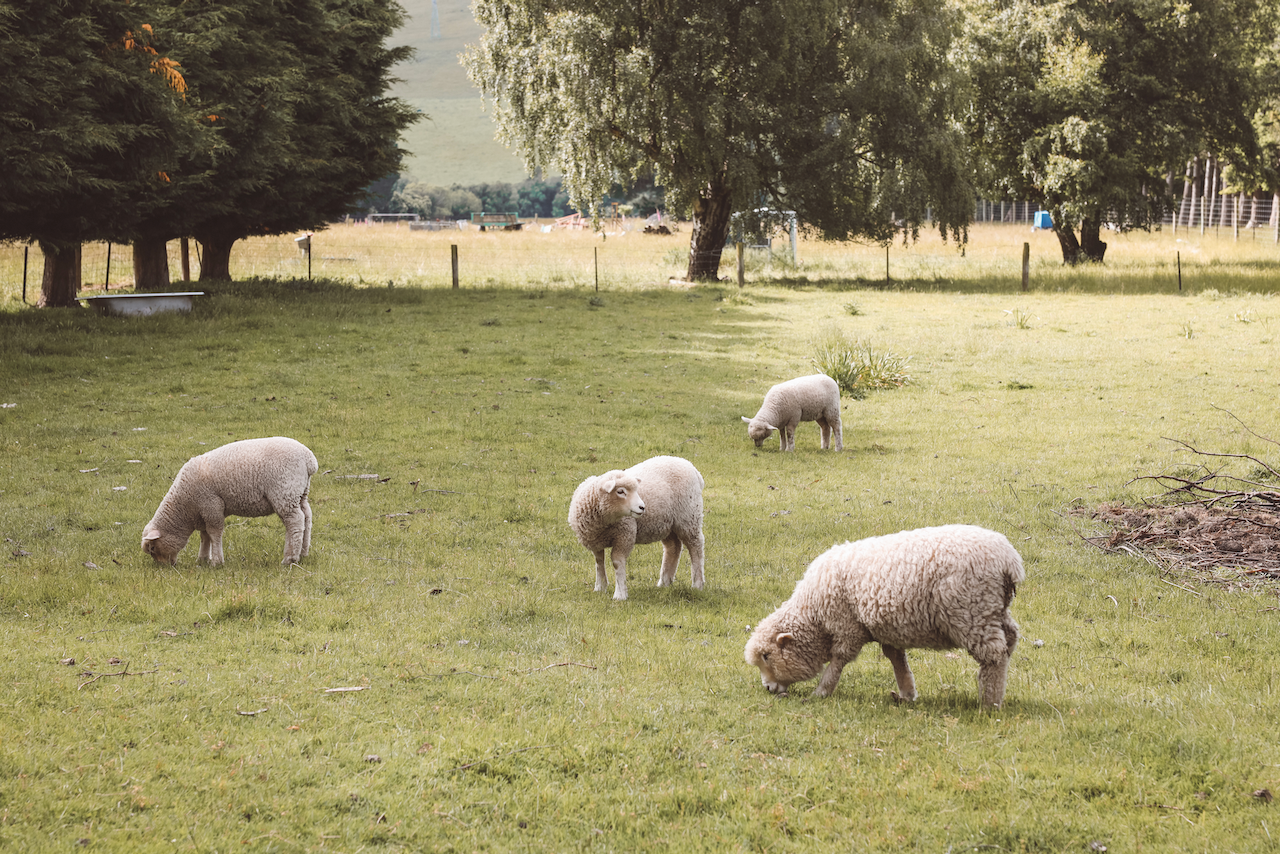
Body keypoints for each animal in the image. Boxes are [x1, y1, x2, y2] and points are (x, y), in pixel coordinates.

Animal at [140, 440, 317, 568]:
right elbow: (205, 536)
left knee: (295, 522)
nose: (163, 567)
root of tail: (309, 460)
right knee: (307, 517)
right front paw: (202, 559)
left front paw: (216, 561)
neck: (184, 507)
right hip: (299, 493)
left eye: (152, 548)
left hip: (284, 492)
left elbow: (214, 533)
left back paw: (290, 558)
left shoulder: (211, 505)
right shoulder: (204, 511)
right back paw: (303, 553)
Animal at [570, 453, 711, 601]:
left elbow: (617, 562)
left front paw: (620, 594)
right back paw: (664, 582)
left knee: (696, 546)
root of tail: (692, 467)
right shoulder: (595, 539)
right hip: (666, 524)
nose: (642, 507)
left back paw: (697, 584)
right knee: (673, 547)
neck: (605, 520)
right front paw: (600, 587)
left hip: (689, 516)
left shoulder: (625, 534)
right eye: (620, 491)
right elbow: (599, 561)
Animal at [747, 524, 1024, 711]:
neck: (813, 614)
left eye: (767, 656)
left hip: (972, 612)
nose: (768, 688)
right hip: (994, 609)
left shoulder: (848, 626)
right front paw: (907, 693)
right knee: (1010, 640)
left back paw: (989, 703)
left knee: (994, 656)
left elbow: (839, 660)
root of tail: (1009, 560)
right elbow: (896, 658)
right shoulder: (886, 628)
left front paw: (822, 691)